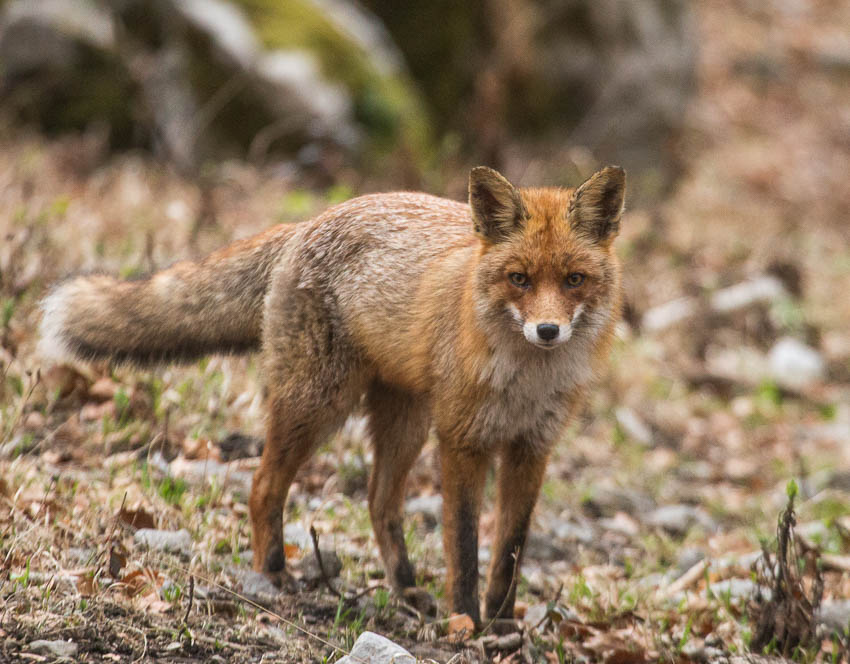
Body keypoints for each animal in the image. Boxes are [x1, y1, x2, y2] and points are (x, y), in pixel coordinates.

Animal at [39, 163, 624, 624]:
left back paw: (406, 589)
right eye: (519, 279)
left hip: (405, 423)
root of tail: (309, 221)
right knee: (263, 486)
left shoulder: (531, 448)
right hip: (317, 406)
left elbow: (509, 552)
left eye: (573, 280)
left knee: (378, 503)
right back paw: (274, 573)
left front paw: (501, 625)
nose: (547, 331)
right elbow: (464, 547)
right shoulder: (463, 441)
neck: (525, 381)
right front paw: (466, 621)